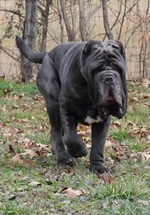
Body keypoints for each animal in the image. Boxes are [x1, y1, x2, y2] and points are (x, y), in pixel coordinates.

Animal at [15, 37, 127, 174]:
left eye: (118, 68)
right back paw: (64, 158)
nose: (109, 77)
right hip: (53, 102)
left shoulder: (103, 120)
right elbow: (70, 137)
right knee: (57, 134)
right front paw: (80, 151)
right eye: (96, 70)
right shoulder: (67, 109)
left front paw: (98, 166)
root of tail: (47, 53)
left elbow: (98, 144)